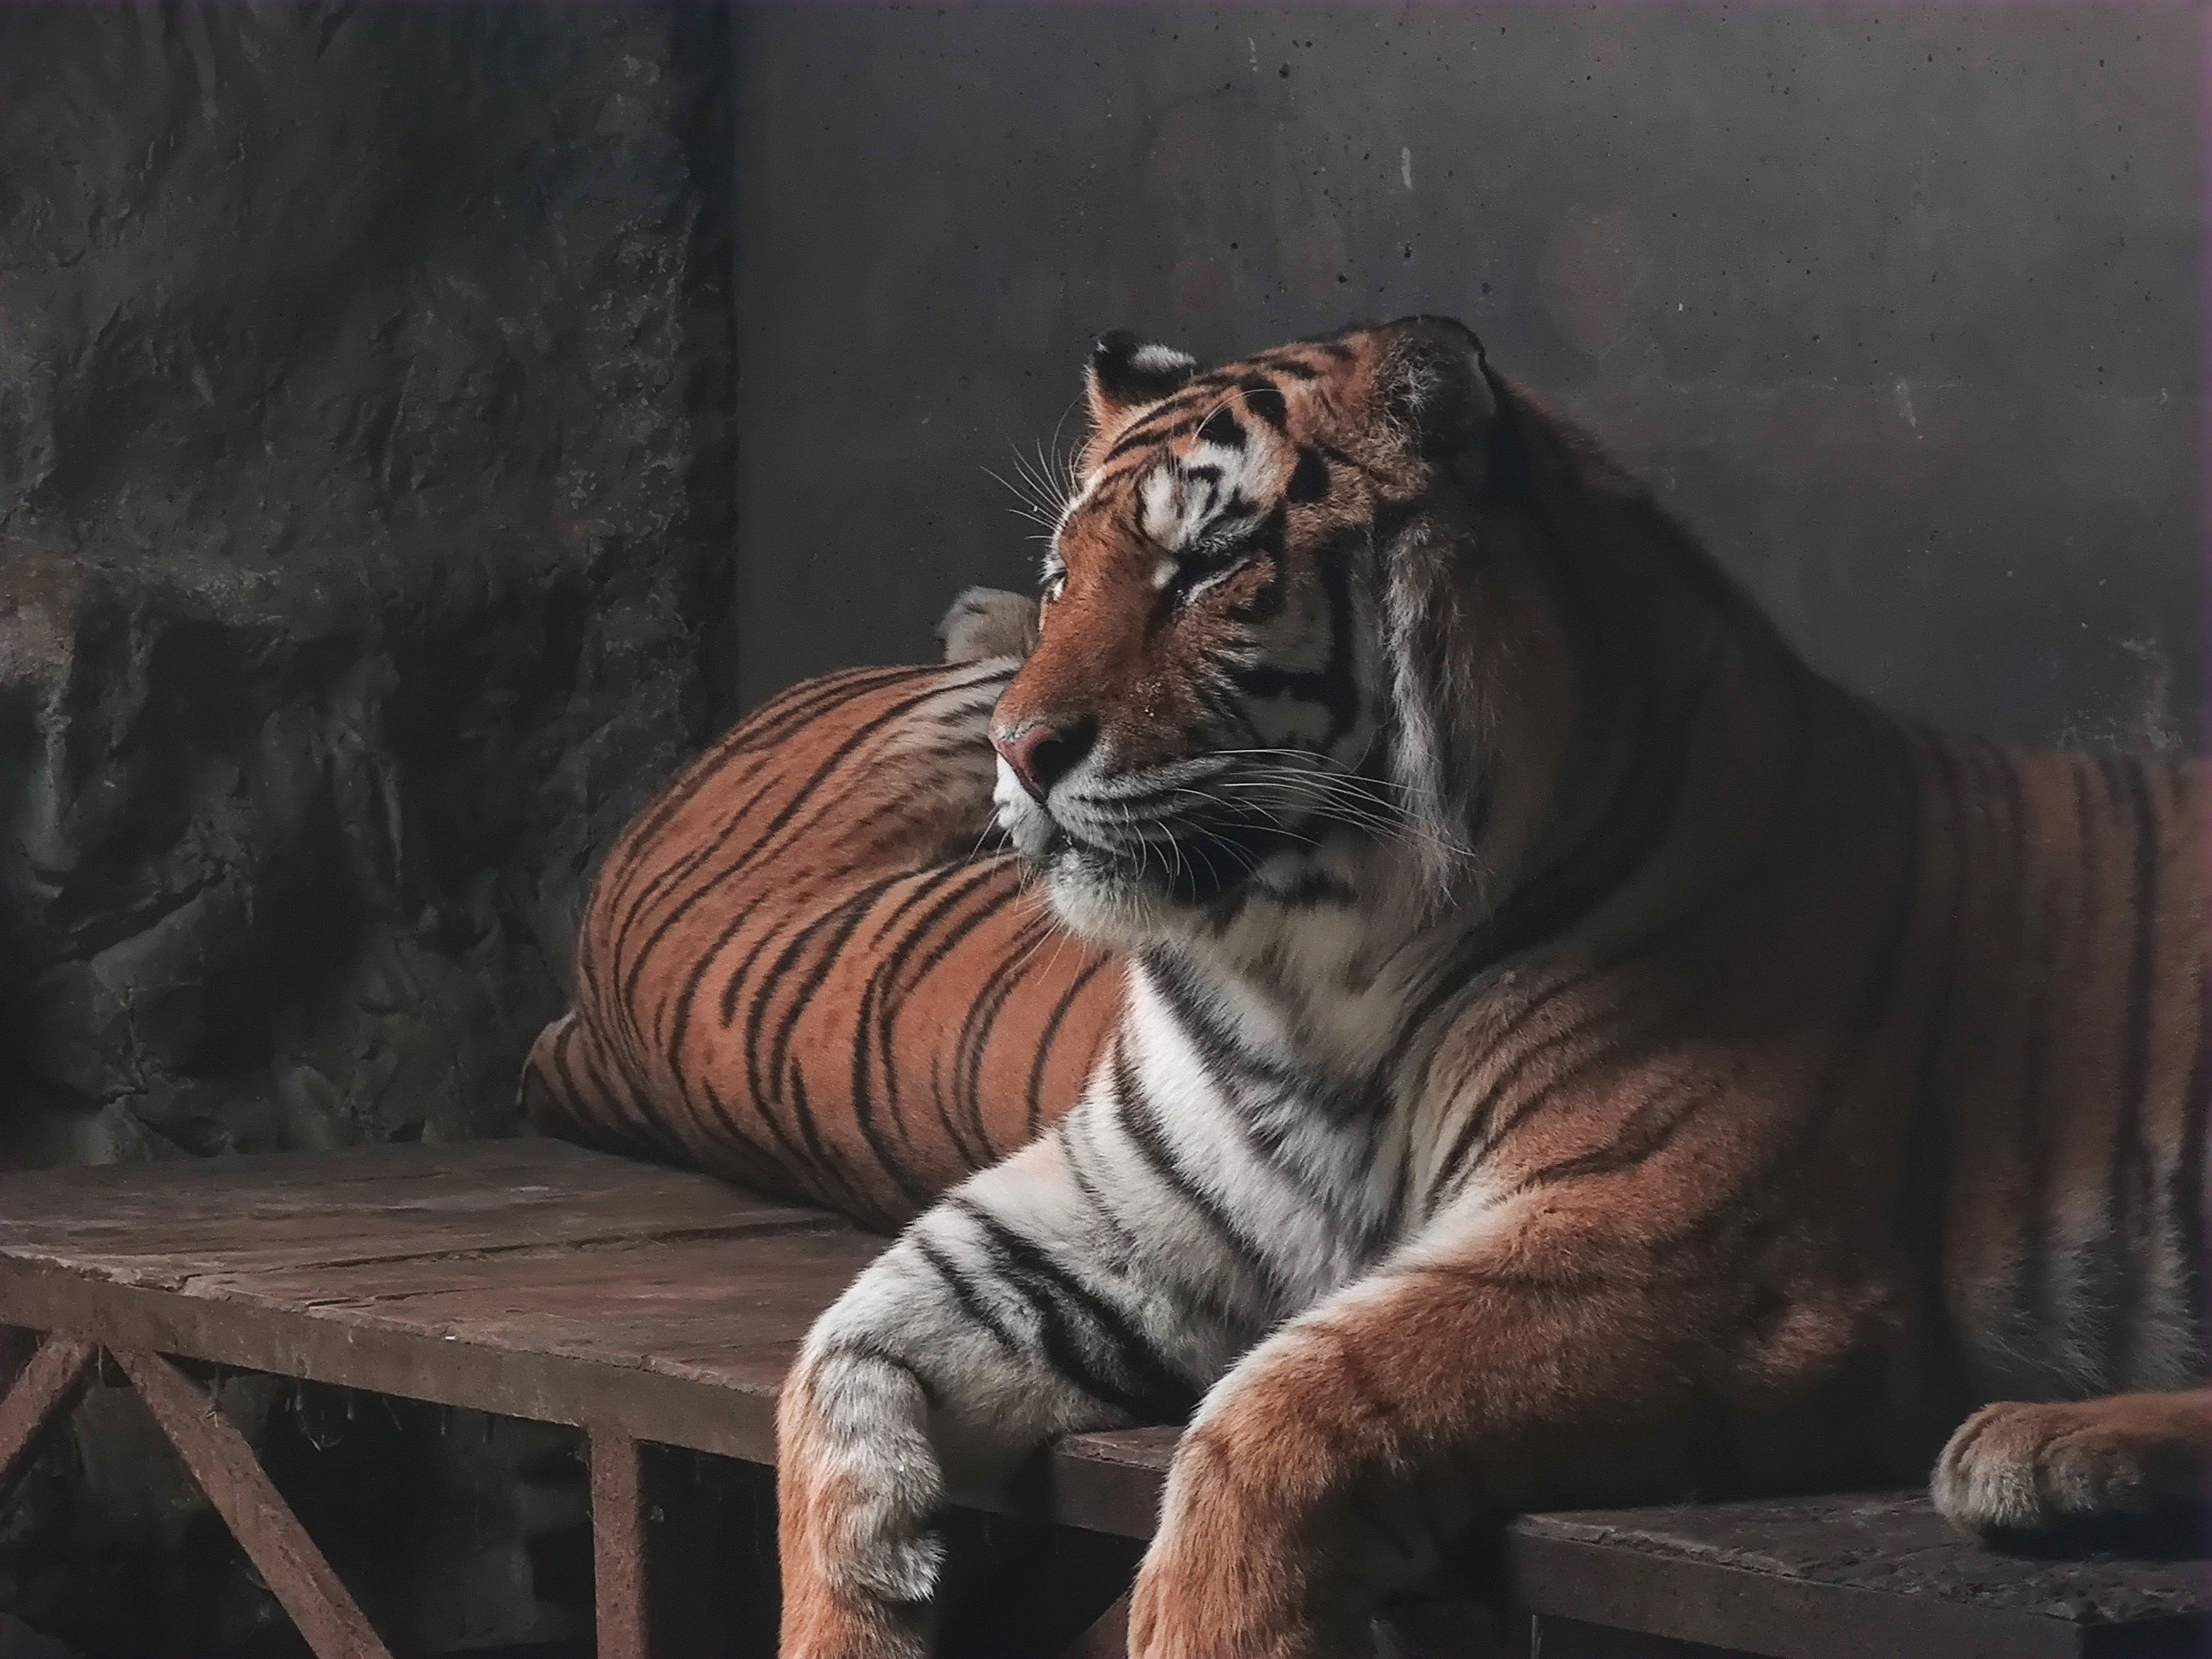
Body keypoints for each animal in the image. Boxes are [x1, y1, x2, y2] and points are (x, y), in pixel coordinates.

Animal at [769, 316, 2209, 1659]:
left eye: (1211, 567)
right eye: (1063, 580)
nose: (1017, 749)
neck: (1297, 981)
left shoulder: (1666, 1249)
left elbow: (1273, 1410)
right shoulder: (1099, 1222)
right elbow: (830, 1371)